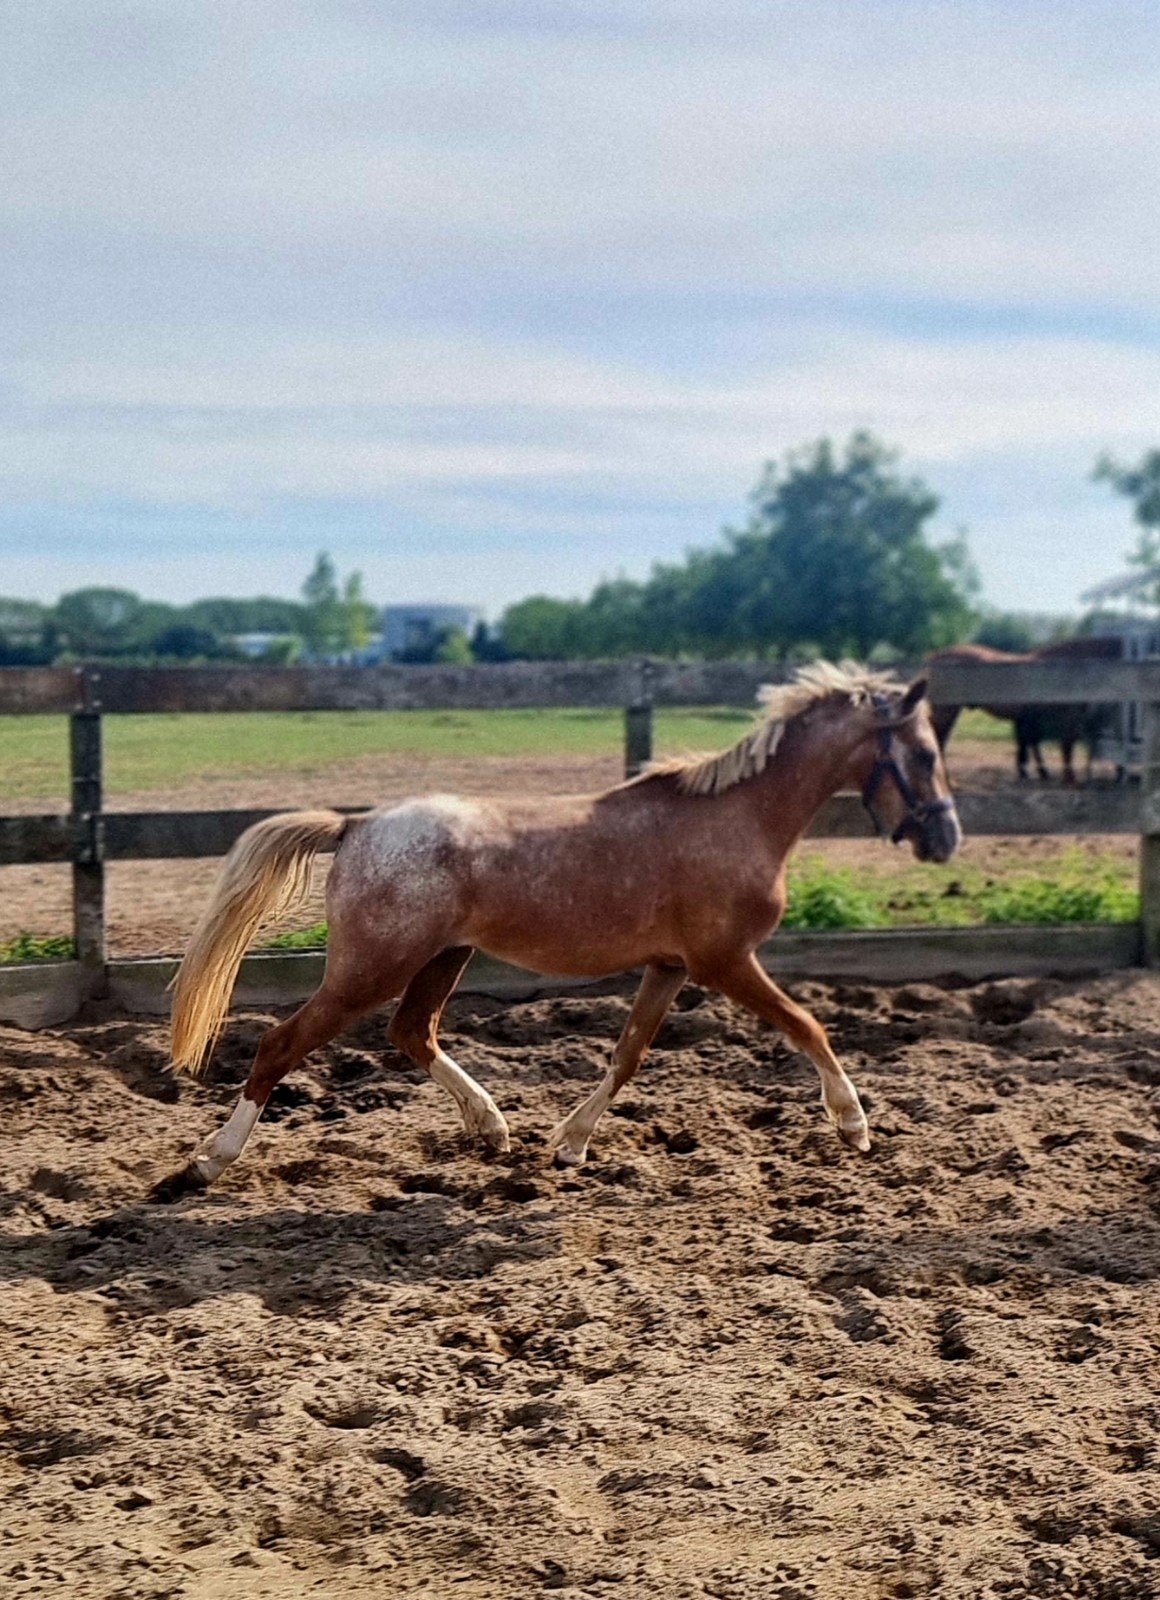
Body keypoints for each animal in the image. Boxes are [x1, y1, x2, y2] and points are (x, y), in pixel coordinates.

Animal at [152, 663, 960, 1202]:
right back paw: (206, 1163)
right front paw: (854, 1125)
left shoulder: (670, 966)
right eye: (924, 754)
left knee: (412, 1032)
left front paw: (567, 1145)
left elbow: (628, 1055)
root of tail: (355, 827)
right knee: (279, 1044)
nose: (946, 837)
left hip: (443, 958)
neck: (739, 819)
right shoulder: (725, 961)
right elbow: (809, 1025)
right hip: (369, 969)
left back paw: (492, 1126)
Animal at [927, 637, 1119, 783]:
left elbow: (1031, 743)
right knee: (939, 739)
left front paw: (1035, 773)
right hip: (947, 712)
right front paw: (1067, 777)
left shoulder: (1033, 718)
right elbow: (1065, 745)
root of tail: (937, 656)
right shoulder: (1067, 718)